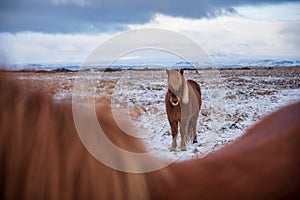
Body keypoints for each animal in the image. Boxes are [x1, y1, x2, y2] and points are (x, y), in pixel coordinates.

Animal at [0, 75, 300, 200]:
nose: (176, 99)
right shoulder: (171, 119)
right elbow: (173, 133)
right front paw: (174, 147)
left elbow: (183, 132)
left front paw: (182, 147)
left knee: (193, 127)